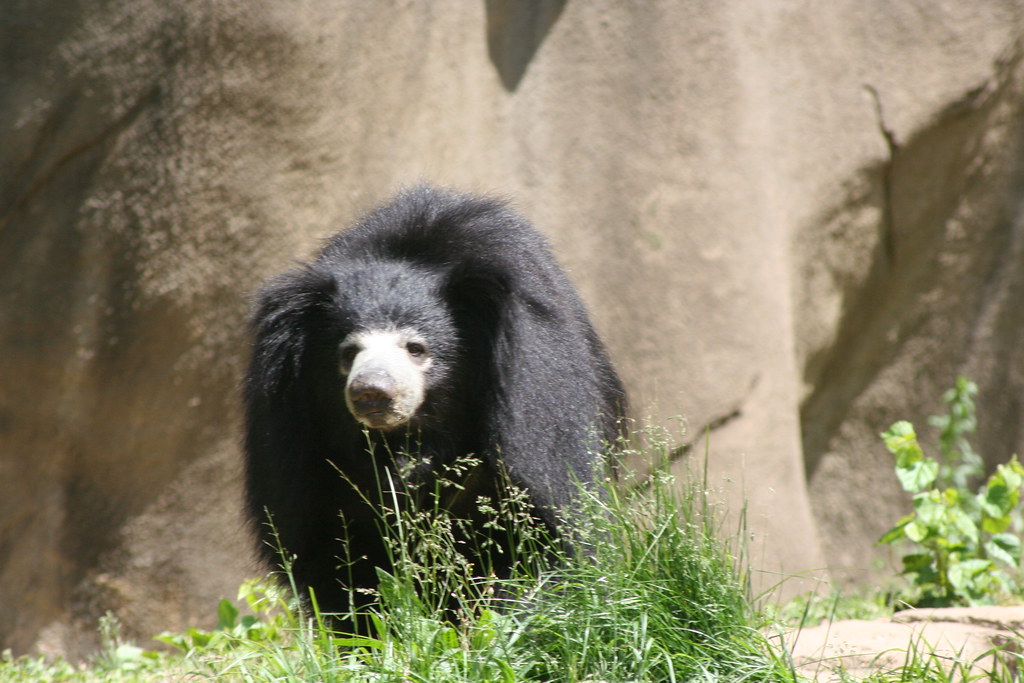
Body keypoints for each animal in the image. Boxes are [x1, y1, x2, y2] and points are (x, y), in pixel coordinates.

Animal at [242, 186, 626, 627]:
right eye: (348, 352)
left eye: (416, 348)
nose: (373, 392)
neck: (417, 435)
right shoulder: (292, 430)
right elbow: (324, 543)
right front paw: (368, 630)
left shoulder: (536, 392)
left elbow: (542, 513)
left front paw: (510, 618)